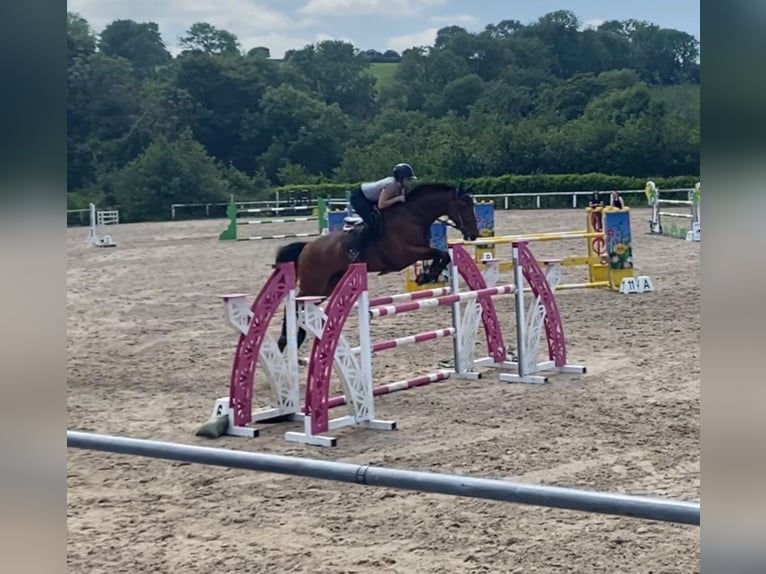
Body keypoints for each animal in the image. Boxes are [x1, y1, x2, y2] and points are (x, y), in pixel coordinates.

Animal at [274, 184, 480, 354]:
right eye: (463, 206)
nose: (474, 235)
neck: (413, 216)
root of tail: (307, 247)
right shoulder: (406, 254)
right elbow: (440, 253)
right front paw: (425, 276)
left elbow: (443, 255)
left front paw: (426, 276)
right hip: (314, 284)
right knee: (294, 305)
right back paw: (285, 341)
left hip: (326, 287)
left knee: (302, 307)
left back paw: (294, 340)